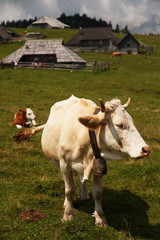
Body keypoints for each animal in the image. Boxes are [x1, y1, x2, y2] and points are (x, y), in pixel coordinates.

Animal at [13, 94, 149, 226]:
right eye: (119, 125)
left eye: (132, 121)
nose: (146, 149)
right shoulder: (65, 164)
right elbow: (69, 190)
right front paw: (68, 215)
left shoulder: (99, 166)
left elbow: (98, 193)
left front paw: (100, 218)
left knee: (81, 178)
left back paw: (84, 194)